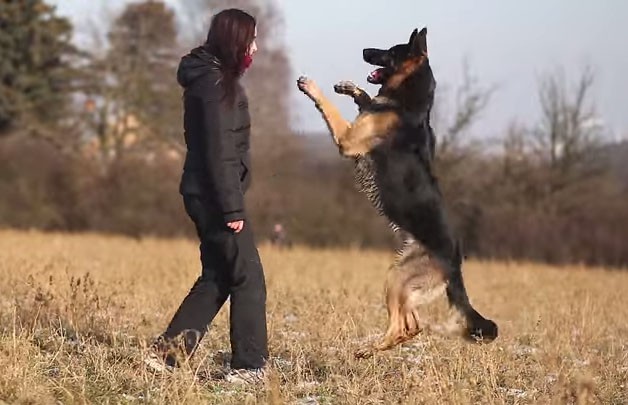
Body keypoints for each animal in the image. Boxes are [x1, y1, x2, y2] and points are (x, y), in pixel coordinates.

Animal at [296, 27, 498, 356]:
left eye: (390, 51)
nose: (365, 50)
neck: (407, 101)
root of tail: (455, 266)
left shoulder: (347, 138)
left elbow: (330, 107)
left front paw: (312, 86)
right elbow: (366, 99)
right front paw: (350, 88)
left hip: (398, 279)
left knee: (402, 326)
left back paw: (368, 349)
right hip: (399, 279)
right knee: (411, 324)